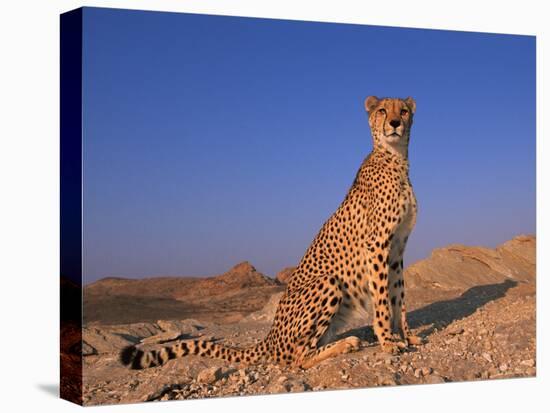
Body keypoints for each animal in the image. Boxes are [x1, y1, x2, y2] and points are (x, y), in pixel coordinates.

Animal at [121, 95, 422, 368]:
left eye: (404, 111)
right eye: (382, 110)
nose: (395, 123)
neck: (395, 160)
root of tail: (269, 337)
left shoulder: (397, 249)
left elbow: (398, 296)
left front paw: (406, 336)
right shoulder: (378, 246)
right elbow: (382, 300)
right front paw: (388, 341)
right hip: (327, 283)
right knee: (295, 359)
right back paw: (346, 344)